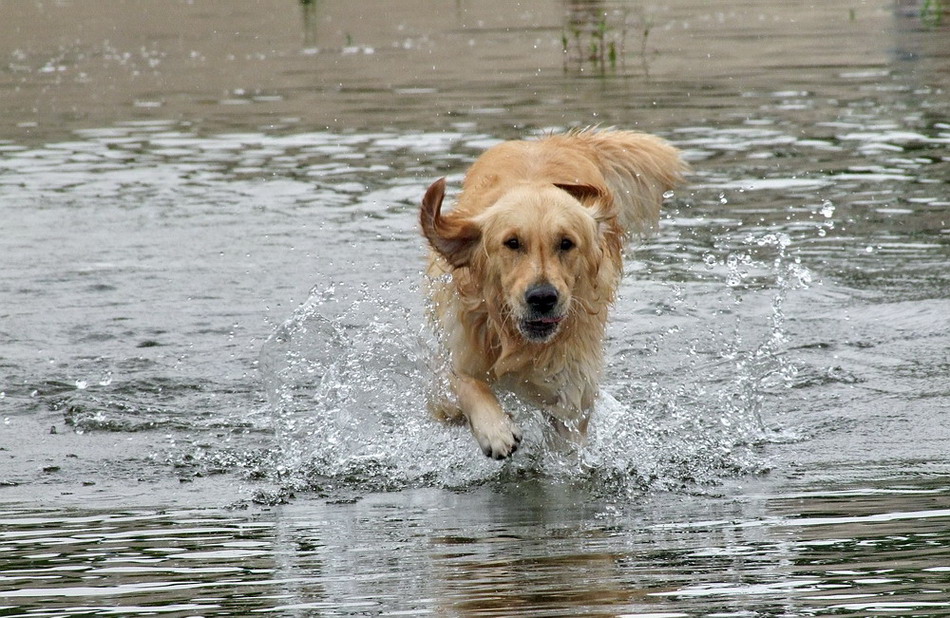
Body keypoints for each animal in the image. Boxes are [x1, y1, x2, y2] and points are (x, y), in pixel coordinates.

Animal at [420, 129, 688, 458]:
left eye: (566, 243)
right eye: (512, 243)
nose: (542, 298)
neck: (515, 342)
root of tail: (554, 140)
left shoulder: (572, 393)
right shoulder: (453, 356)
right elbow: (464, 384)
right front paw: (495, 430)